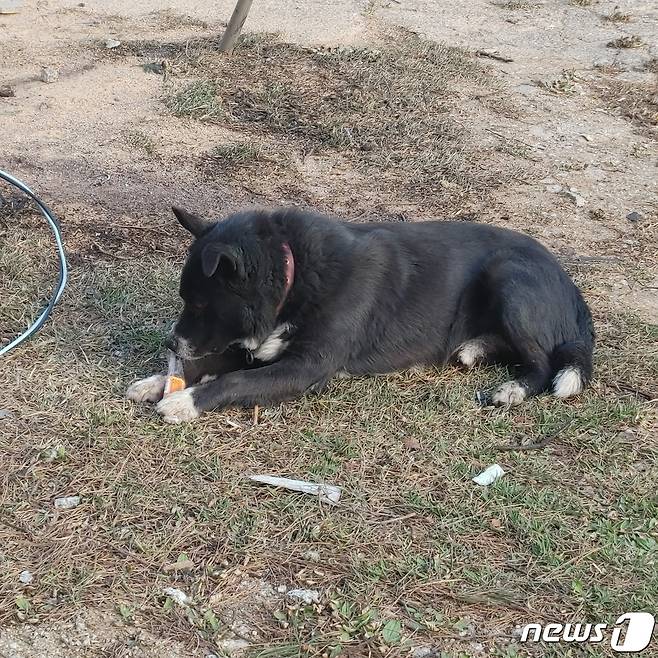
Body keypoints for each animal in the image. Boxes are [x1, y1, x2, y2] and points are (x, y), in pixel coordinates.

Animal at [125, 206, 592, 420]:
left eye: (200, 303)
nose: (170, 342)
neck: (295, 272)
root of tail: (570, 283)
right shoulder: (260, 346)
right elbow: (213, 361)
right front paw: (158, 382)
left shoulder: (306, 367)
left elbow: (234, 380)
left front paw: (184, 400)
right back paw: (475, 350)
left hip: (509, 278)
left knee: (543, 360)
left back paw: (513, 390)